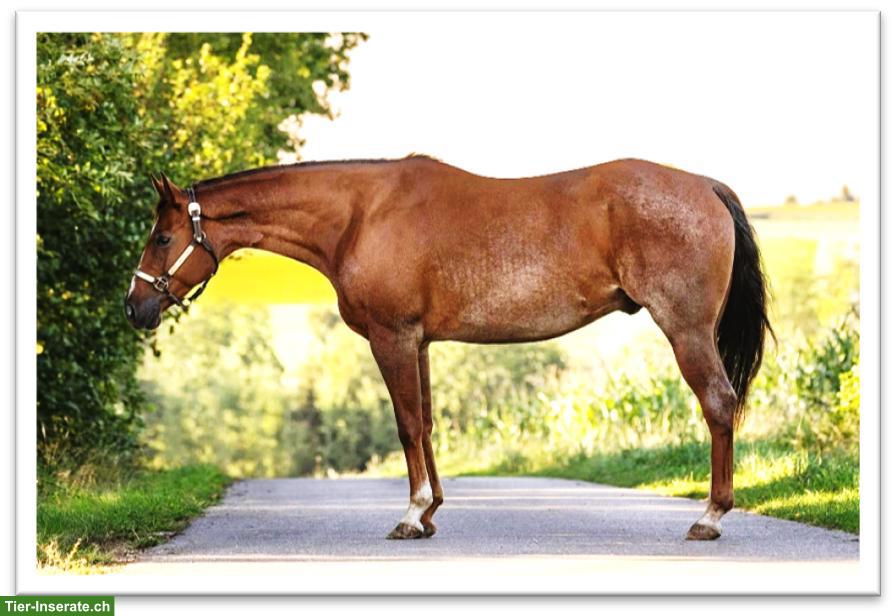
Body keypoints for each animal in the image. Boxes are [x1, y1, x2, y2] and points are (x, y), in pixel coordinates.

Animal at [125, 156, 772, 541]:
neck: (360, 216)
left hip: (686, 330)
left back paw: (709, 517)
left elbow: (407, 423)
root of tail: (706, 186)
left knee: (718, 404)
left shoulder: (392, 338)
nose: (136, 307)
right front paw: (432, 511)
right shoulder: (421, 342)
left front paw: (411, 515)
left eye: (163, 237)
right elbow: (428, 422)